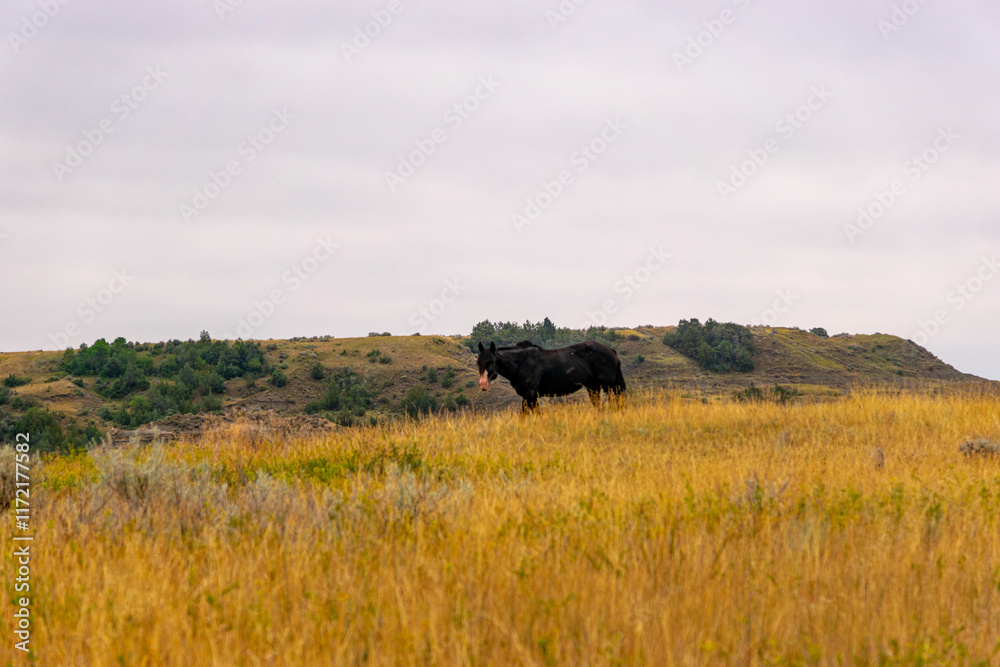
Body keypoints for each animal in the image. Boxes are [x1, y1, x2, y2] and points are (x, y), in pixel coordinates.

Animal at [476, 340, 626, 413]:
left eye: (491, 362)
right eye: (478, 362)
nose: (483, 384)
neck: (522, 362)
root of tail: (611, 351)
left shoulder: (529, 394)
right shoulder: (531, 396)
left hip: (609, 386)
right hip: (593, 387)